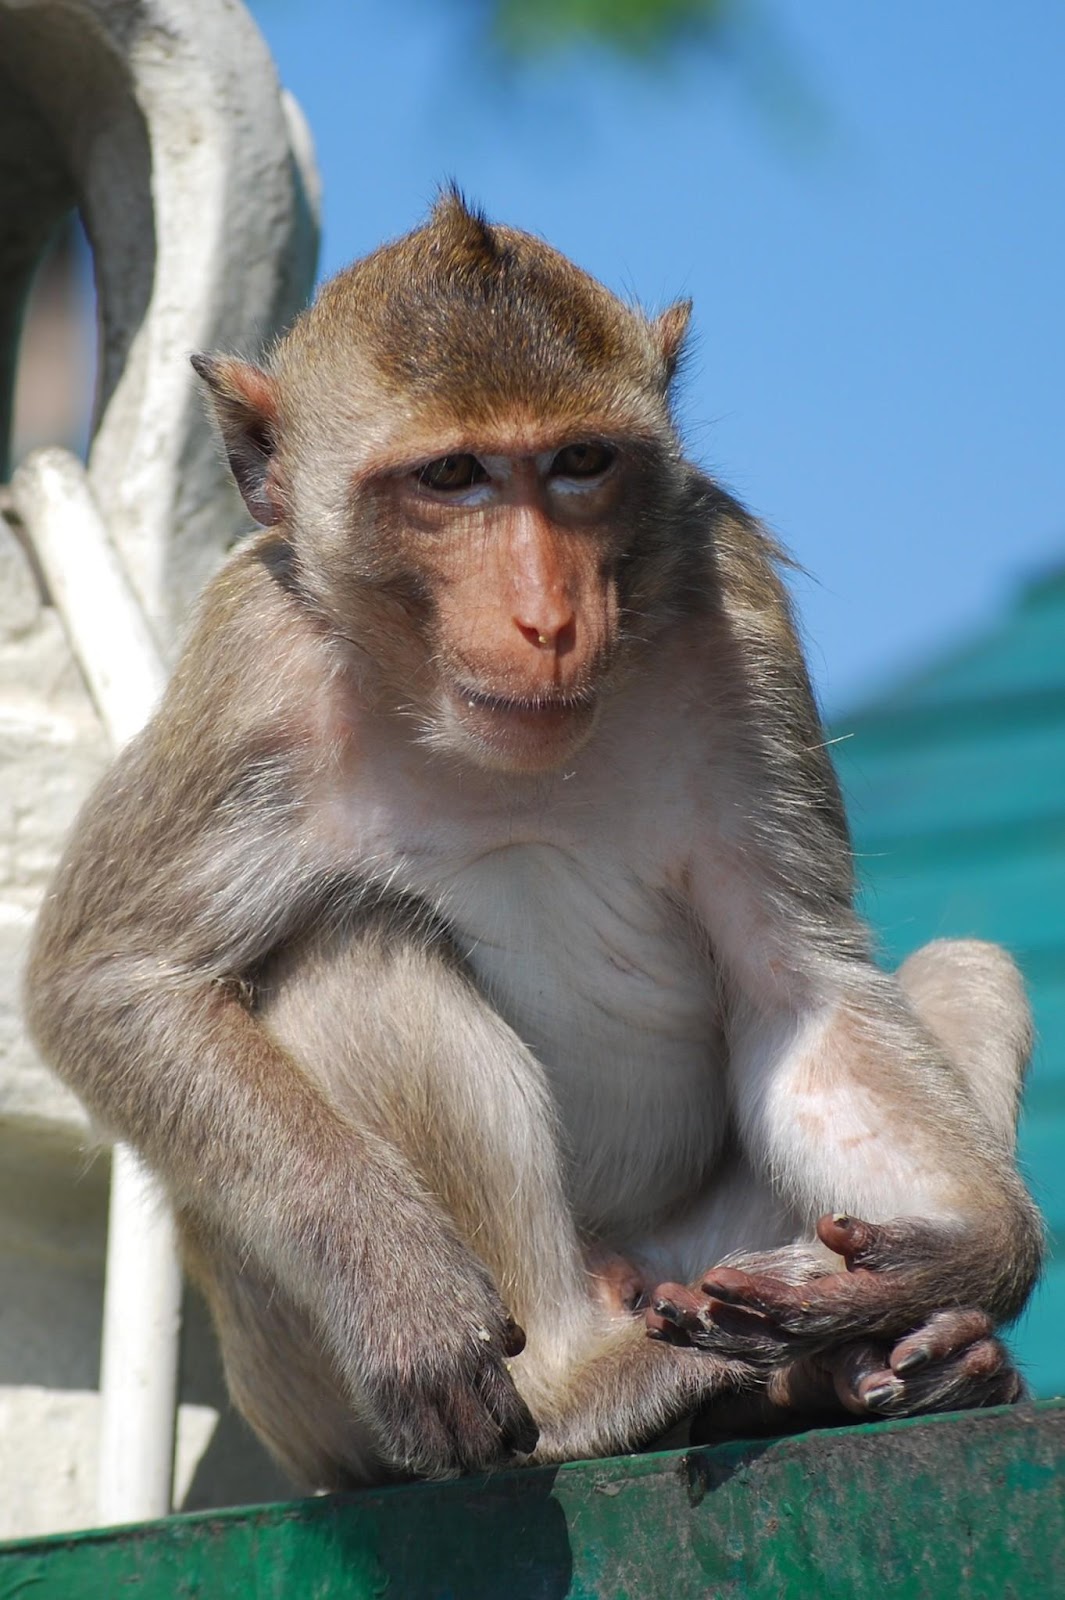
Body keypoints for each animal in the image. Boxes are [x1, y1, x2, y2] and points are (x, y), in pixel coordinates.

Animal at [24, 192, 1042, 1490]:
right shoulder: (252, 663)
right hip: (311, 1398)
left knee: (964, 970)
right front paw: (401, 1286)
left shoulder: (735, 598)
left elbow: (799, 987)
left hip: (700, 1260)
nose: (549, 617)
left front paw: (957, 1261)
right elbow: (110, 980)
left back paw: (884, 1363)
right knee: (357, 955)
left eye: (579, 463)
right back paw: (585, 1388)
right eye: (453, 475)